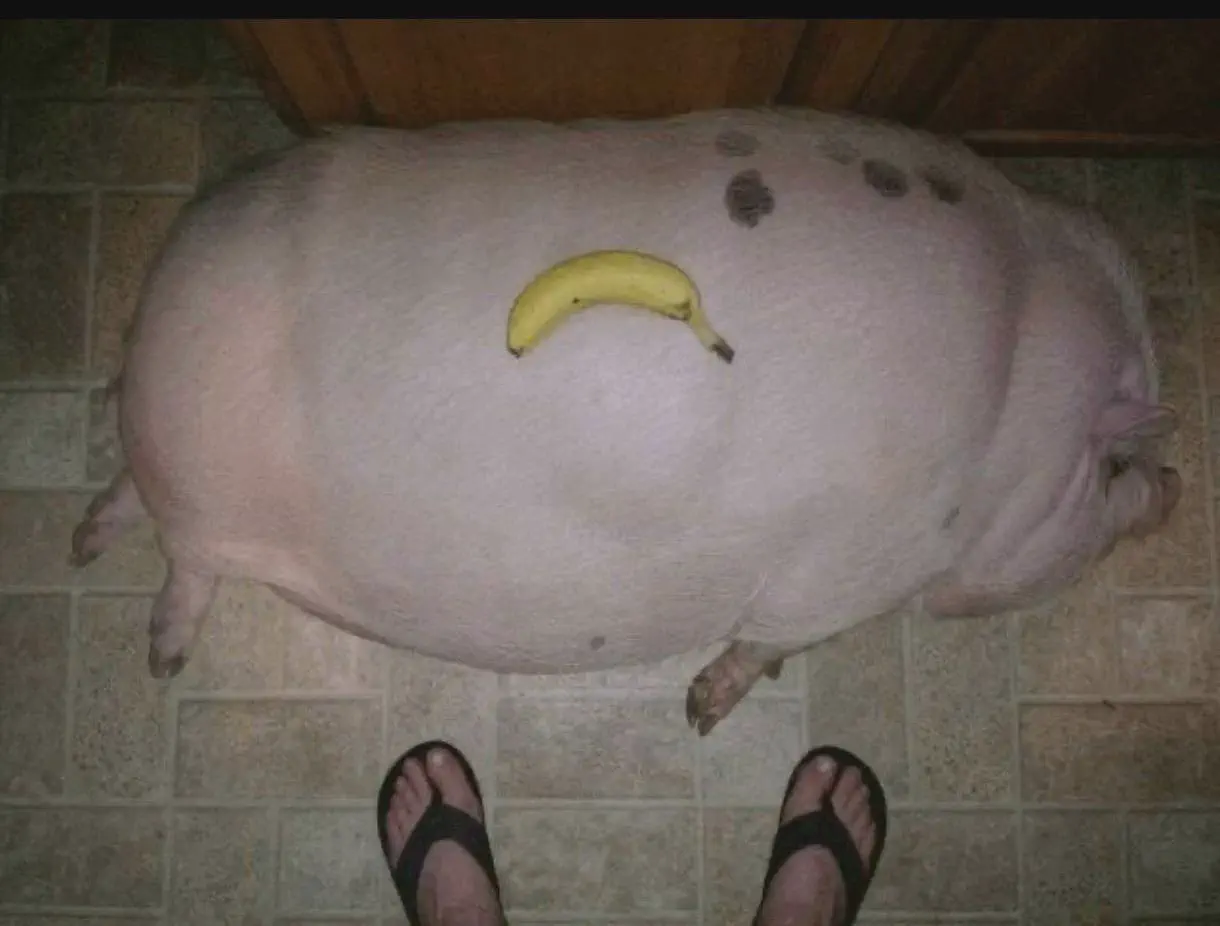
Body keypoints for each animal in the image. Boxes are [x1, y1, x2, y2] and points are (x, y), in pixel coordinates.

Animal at [71, 107, 1180, 735]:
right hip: (206, 495)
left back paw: (84, 541)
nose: (1172, 483)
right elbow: (770, 636)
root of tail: (144, 335)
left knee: (136, 503)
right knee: (186, 570)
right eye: (1113, 464)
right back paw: (157, 658)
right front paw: (700, 714)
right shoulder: (860, 562)